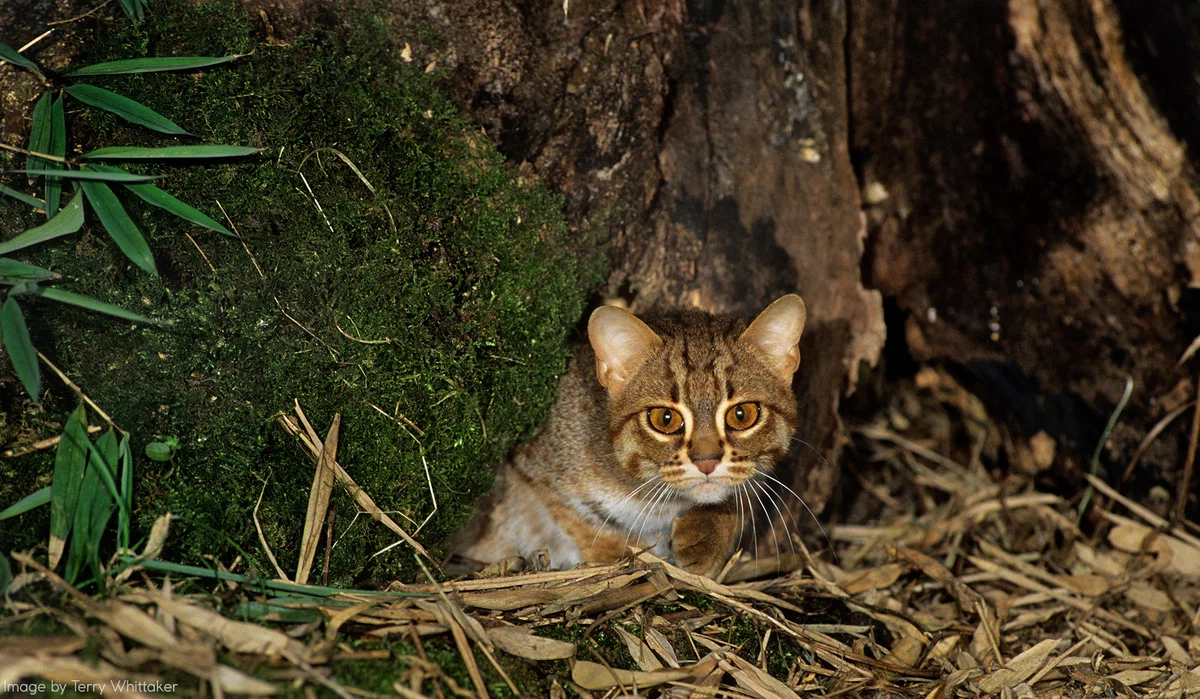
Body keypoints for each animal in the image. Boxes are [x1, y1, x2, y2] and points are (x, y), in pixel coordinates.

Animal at [448, 295, 806, 581]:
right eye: (665, 419)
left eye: (742, 415)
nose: (706, 462)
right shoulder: (535, 468)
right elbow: (583, 524)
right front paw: (624, 558)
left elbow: (737, 494)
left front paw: (705, 539)